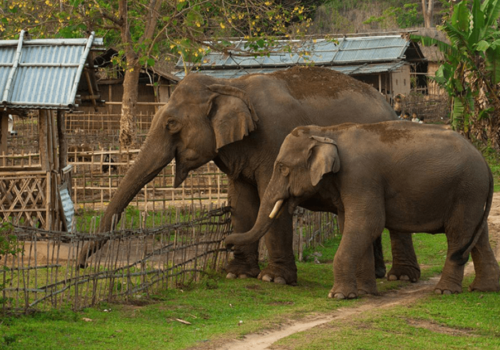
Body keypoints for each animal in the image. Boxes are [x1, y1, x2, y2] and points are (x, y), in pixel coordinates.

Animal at [78, 65, 420, 284]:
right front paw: (238, 274)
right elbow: (242, 201)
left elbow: (272, 201)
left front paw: (274, 279)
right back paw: (378, 274)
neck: (230, 85)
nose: (81, 264)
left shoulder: (277, 140)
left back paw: (401, 277)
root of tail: (389, 104)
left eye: (171, 124)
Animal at [227, 121, 500, 300]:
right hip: (473, 195)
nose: (228, 242)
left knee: (458, 235)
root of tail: (486, 164)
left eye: (282, 168)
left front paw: (338, 296)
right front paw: (364, 293)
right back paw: (484, 289)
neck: (328, 132)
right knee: (477, 237)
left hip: (466, 190)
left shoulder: (361, 176)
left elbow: (368, 223)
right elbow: (352, 225)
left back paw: (444, 291)